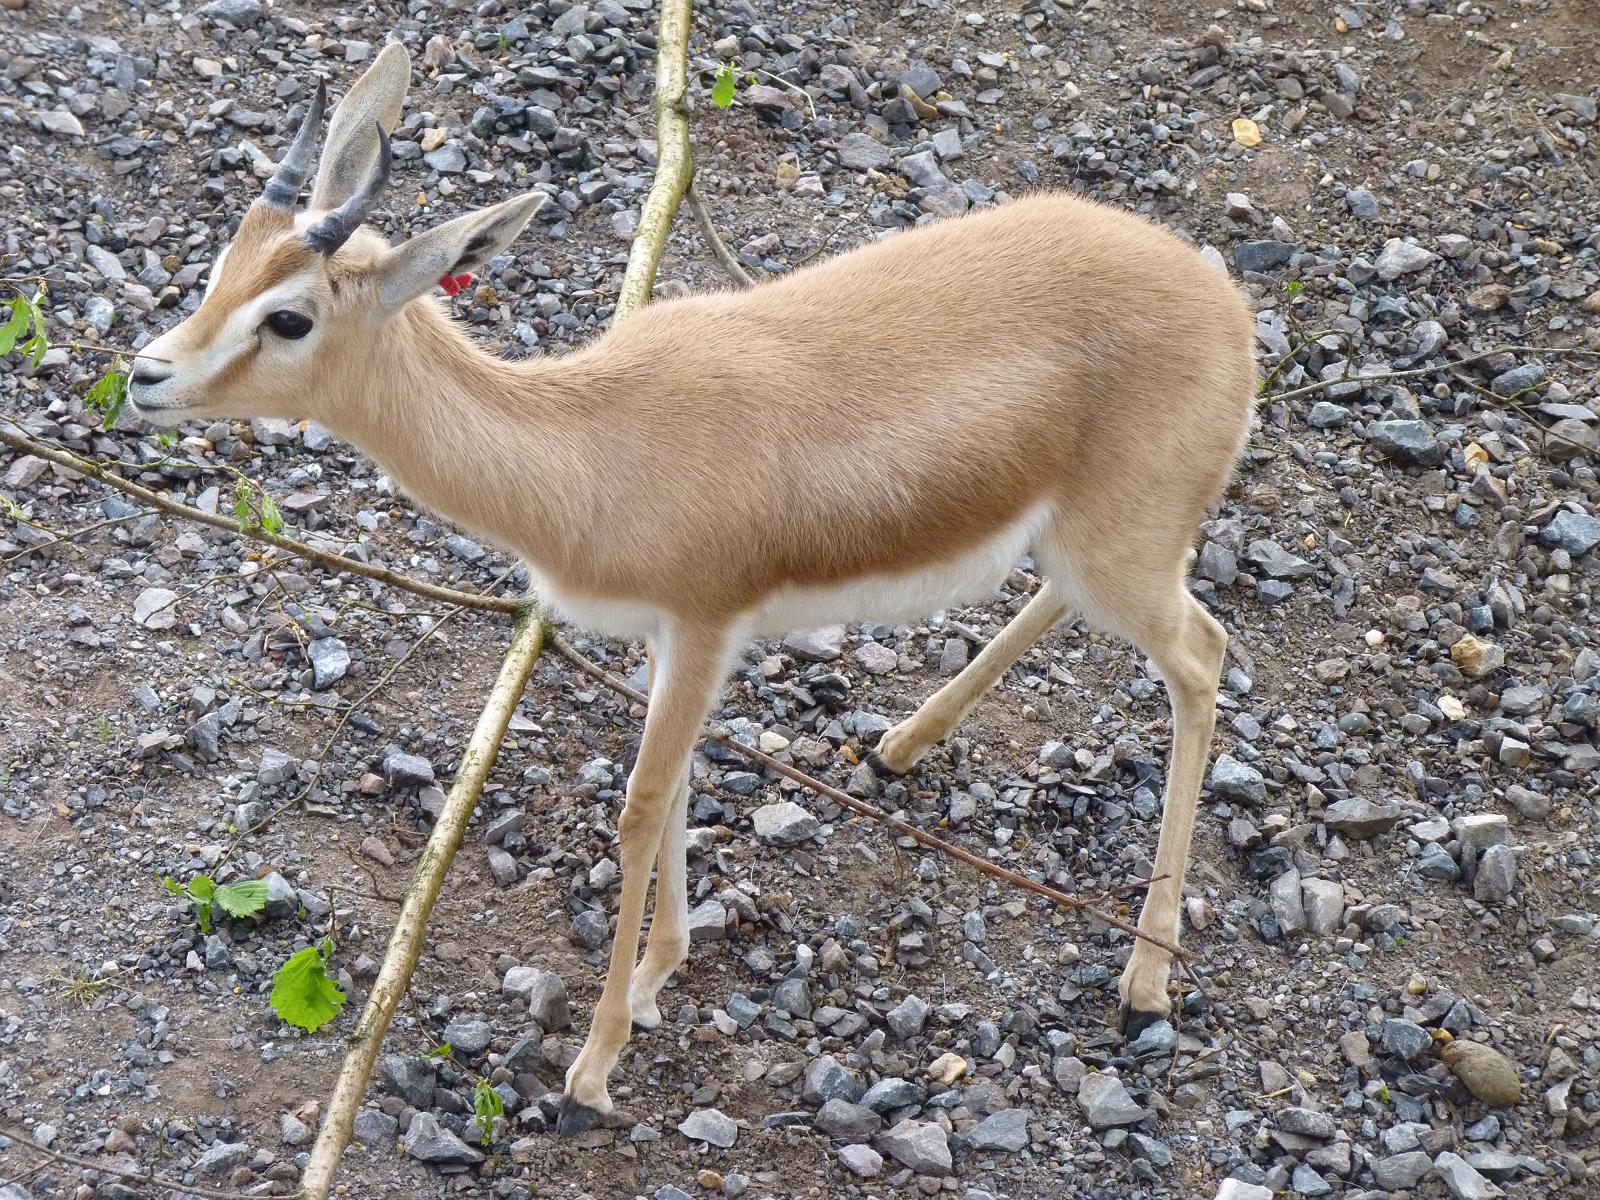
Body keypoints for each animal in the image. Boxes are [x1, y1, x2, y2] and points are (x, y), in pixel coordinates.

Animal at [129, 44, 1256, 1134]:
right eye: (226, 261)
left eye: (289, 318)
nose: (145, 376)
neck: (596, 447)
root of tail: (1229, 308)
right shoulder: (669, 638)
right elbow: (671, 793)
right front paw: (657, 975)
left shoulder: (709, 628)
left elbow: (639, 805)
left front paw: (592, 1067)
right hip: (1084, 549)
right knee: (1074, 607)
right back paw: (901, 743)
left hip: (1121, 554)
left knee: (1202, 657)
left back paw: (1145, 980)